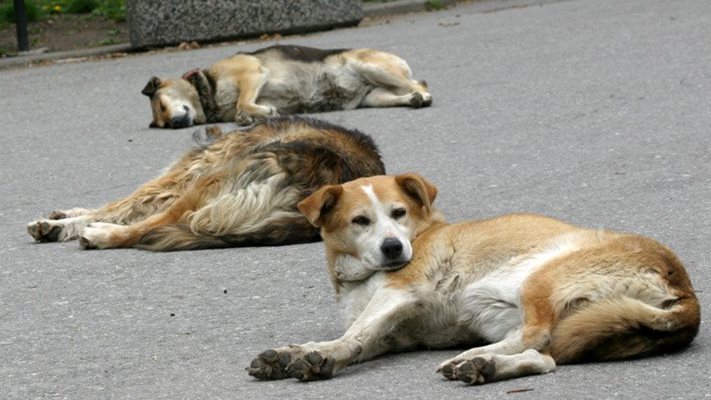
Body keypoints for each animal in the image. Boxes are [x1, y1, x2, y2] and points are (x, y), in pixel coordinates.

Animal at [26, 117, 384, 252]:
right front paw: (60, 219)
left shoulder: (180, 178)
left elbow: (123, 205)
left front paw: (62, 222)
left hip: (211, 180)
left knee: (154, 223)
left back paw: (100, 235)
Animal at [141, 45, 432, 130]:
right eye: (163, 121)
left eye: (162, 105)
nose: (175, 124)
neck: (207, 89)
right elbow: (241, 110)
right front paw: (251, 116)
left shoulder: (253, 73)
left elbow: (242, 103)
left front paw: (264, 112)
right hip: (374, 96)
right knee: (406, 92)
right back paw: (413, 99)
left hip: (371, 67)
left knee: (420, 83)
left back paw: (423, 95)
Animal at [246, 173, 700, 382]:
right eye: (361, 221)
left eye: (398, 213)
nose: (393, 248)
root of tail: (685, 291)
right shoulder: (393, 334)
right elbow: (357, 340)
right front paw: (299, 354)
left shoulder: (400, 291)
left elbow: (352, 336)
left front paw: (317, 353)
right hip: (577, 322)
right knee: (545, 357)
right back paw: (488, 365)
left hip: (540, 278)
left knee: (535, 334)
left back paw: (474, 357)